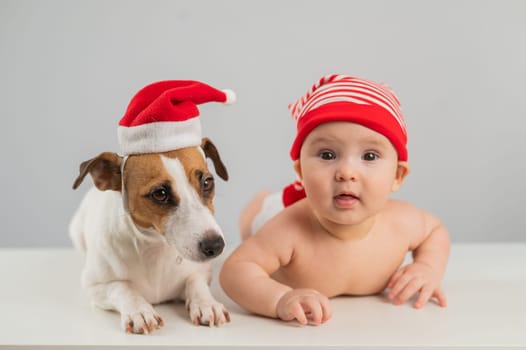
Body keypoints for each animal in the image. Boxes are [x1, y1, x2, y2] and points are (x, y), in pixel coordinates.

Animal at [69, 137, 231, 334]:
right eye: (160, 193)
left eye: (207, 182)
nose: (215, 246)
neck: (156, 248)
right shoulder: (94, 286)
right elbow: (123, 287)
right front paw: (140, 311)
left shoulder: (202, 272)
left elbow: (196, 282)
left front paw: (206, 304)